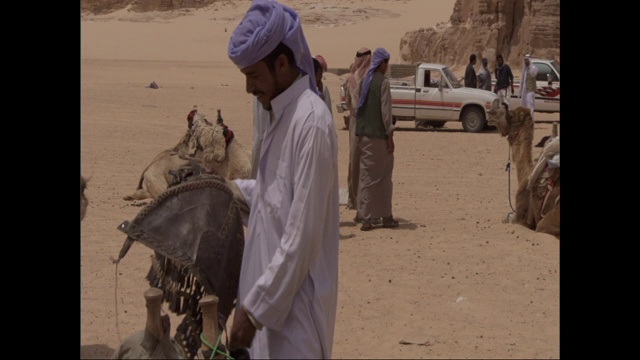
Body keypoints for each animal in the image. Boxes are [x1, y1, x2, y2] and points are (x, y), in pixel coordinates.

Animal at [488, 105, 556, 239]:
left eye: (510, 114)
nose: (491, 112)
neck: (527, 173)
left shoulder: (521, 218)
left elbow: (506, 218)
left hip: (545, 222)